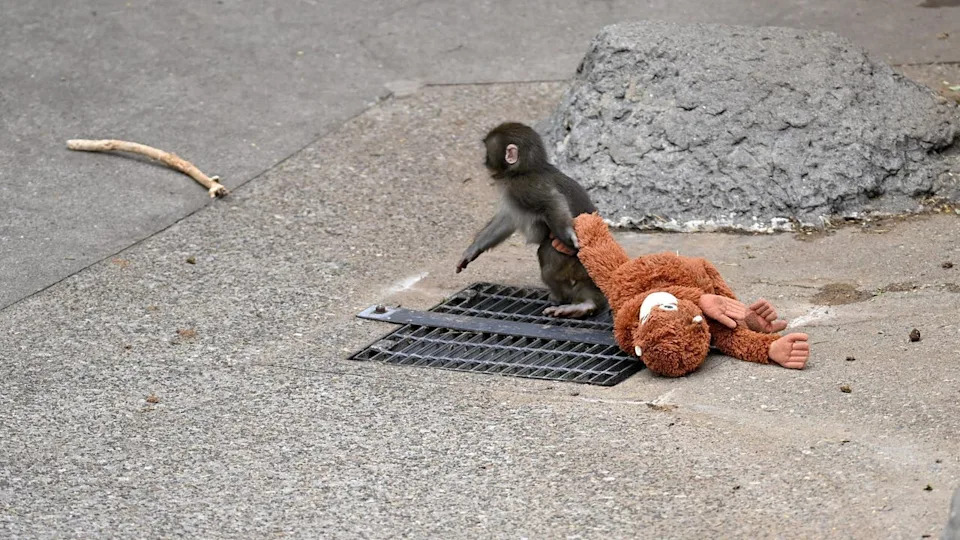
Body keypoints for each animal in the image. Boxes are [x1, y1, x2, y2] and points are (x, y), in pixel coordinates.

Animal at [455, 122, 607, 318]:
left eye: (488, 152)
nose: (484, 161)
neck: (525, 169)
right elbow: (506, 220)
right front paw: (473, 250)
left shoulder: (522, 186)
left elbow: (552, 201)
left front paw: (570, 235)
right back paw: (585, 305)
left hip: (574, 263)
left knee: (547, 258)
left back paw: (564, 298)